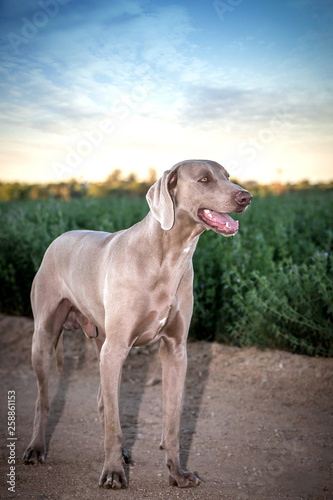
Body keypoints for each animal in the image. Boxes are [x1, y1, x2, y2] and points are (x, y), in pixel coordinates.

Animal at [23, 159, 250, 488]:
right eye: (204, 180)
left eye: (228, 176)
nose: (246, 197)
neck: (167, 256)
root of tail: (59, 237)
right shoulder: (117, 347)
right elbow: (114, 425)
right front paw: (113, 473)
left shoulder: (175, 350)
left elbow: (172, 421)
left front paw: (177, 473)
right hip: (44, 338)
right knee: (43, 399)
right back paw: (37, 448)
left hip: (101, 341)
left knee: (104, 402)